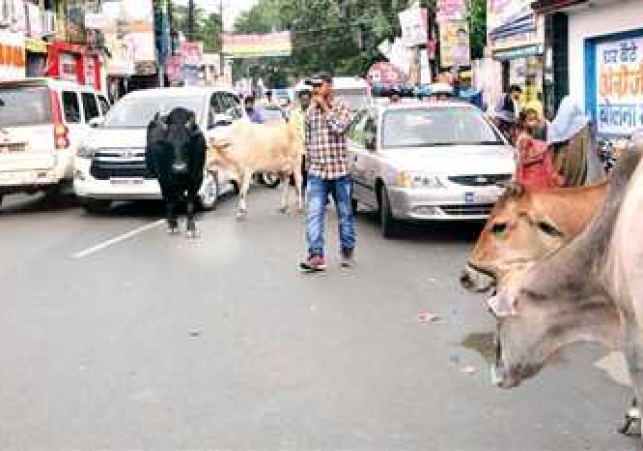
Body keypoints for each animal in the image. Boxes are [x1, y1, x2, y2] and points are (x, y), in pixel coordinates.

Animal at [146, 107, 206, 238]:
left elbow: (190, 204)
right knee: (169, 200)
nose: (179, 168)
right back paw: (171, 222)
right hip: (161, 180)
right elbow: (170, 202)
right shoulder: (166, 181)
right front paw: (173, 225)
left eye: (187, 143)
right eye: (169, 144)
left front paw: (191, 228)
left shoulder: (197, 179)